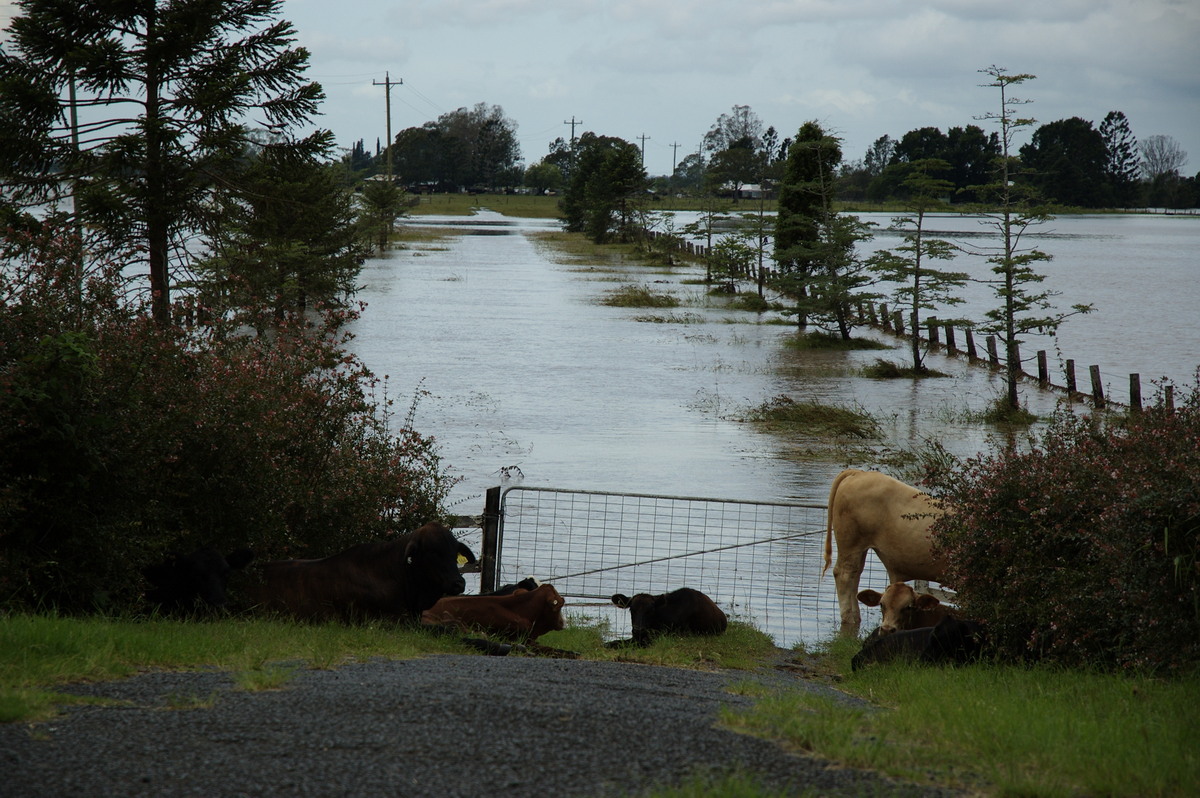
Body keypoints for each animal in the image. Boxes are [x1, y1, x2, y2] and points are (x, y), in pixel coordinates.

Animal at [820, 468, 950, 633]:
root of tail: (858, 472)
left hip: (860, 548)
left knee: (855, 576)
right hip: (850, 543)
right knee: (844, 575)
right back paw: (849, 621)